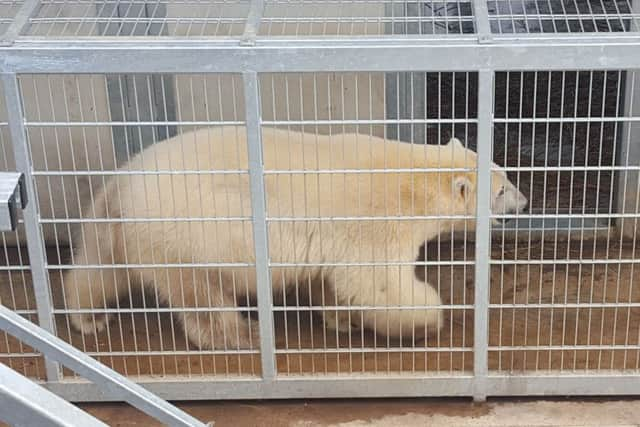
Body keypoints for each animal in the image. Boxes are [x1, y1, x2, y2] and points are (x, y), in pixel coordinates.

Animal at [62, 127, 528, 352]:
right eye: (502, 188)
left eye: (505, 175)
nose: (524, 202)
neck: (413, 182)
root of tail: (121, 181)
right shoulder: (374, 224)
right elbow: (379, 283)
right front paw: (427, 315)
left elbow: (332, 281)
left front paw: (342, 320)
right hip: (187, 234)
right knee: (203, 296)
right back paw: (245, 334)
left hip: (128, 230)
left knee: (98, 270)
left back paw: (87, 317)